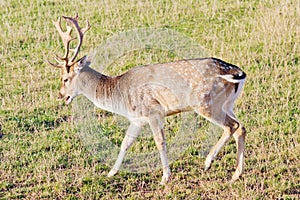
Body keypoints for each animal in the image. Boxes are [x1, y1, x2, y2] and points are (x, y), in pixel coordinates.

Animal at [48, 14, 246, 184]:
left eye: (65, 79)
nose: (60, 95)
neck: (119, 95)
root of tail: (236, 72)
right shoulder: (137, 119)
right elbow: (125, 143)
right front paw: (111, 172)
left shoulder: (153, 112)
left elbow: (160, 142)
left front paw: (165, 177)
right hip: (227, 104)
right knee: (241, 128)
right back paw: (235, 174)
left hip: (206, 103)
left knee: (232, 126)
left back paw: (208, 162)